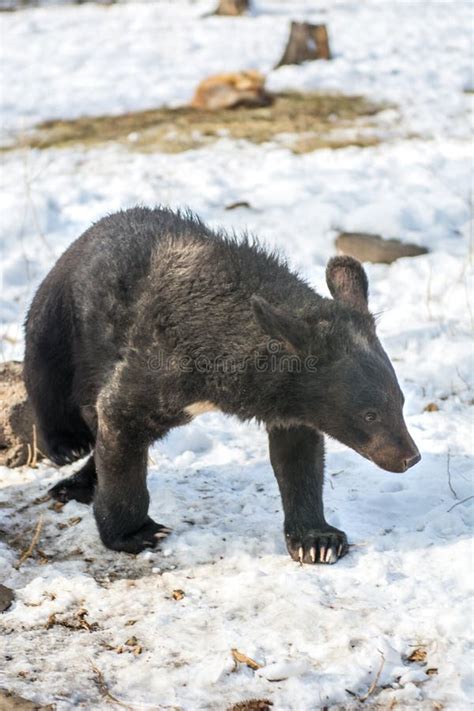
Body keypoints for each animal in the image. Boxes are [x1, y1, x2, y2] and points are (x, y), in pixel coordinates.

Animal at [24, 207, 420, 564]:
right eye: (369, 414)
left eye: (400, 402)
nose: (410, 457)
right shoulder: (157, 360)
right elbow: (121, 417)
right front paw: (137, 532)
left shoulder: (292, 403)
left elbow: (298, 457)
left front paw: (318, 541)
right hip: (57, 318)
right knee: (50, 380)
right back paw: (67, 450)